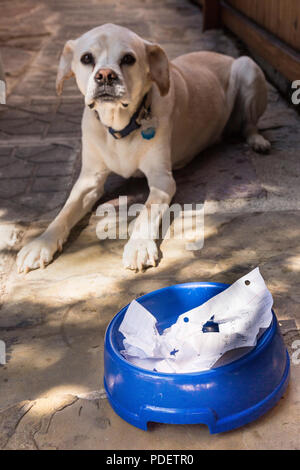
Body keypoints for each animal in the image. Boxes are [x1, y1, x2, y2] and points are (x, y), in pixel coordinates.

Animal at [16, 23, 270, 274]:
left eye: (128, 59)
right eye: (86, 58)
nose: (105, 75)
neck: (120, 127)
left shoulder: (162, 180)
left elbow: (145, 214)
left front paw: (138, 246)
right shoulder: (89, 181)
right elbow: (64, 212)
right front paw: (40, 244)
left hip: (248, 67)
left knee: (250, 125)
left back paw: (258, 141)